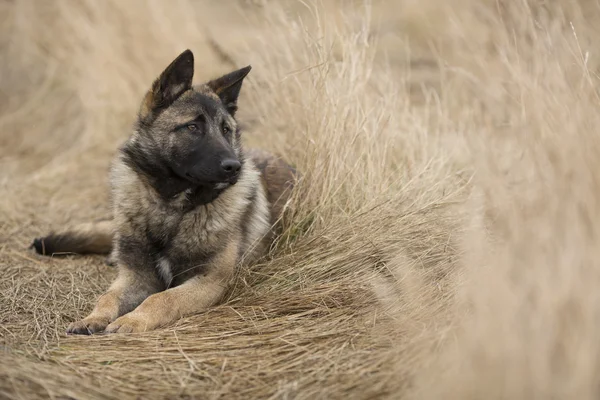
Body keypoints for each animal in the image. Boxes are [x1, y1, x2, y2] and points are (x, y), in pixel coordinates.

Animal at [30, 49, 298, 334]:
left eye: (226, 130)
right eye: (192, 127)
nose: (234, 167)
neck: (171, 207)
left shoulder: (209, 281)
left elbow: (161, 298)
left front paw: (132, 320)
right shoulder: (136, 276)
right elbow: (108, 296)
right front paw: (93, 318)